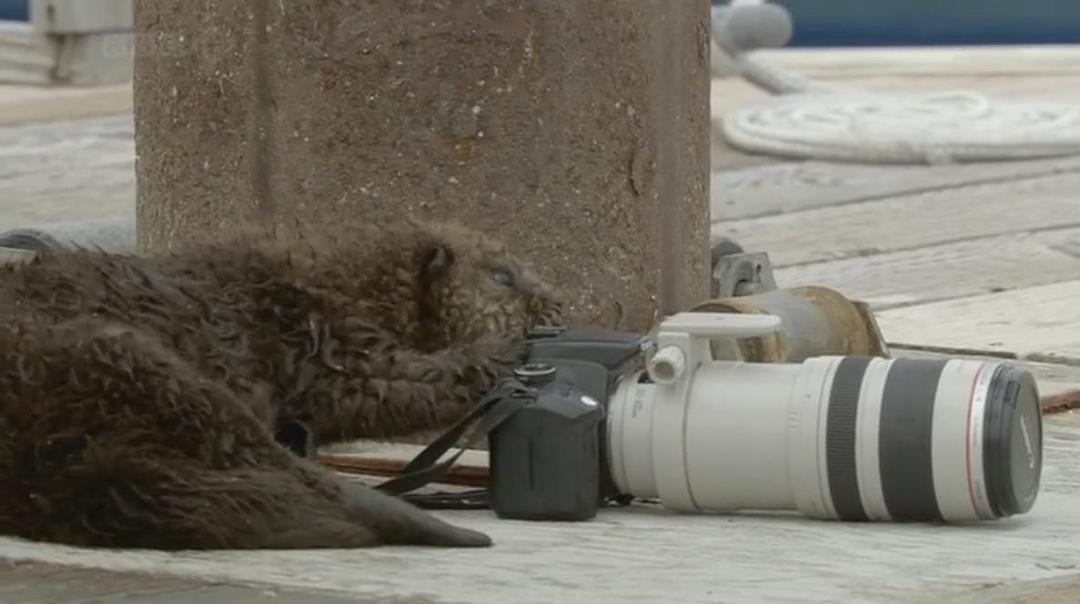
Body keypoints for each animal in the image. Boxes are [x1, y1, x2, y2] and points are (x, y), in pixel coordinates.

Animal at [0, 219, 562, 550]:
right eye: (503, 275)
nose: (554, 304)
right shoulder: (327, 338)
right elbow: (394, 381)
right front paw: (506, 351)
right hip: (134, 361)